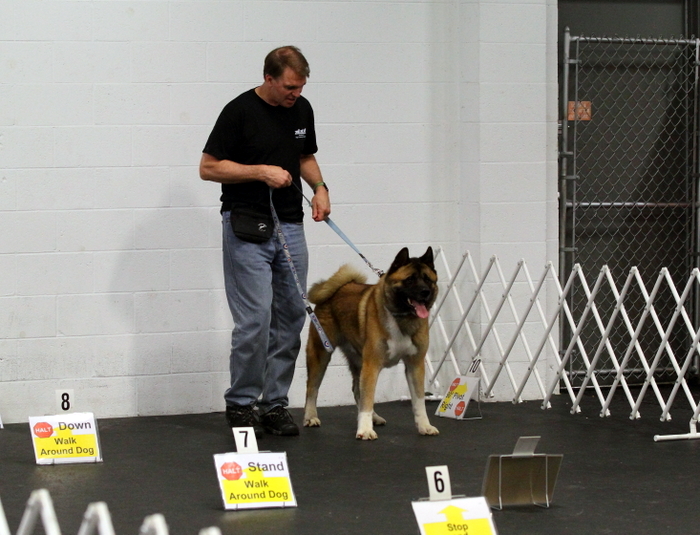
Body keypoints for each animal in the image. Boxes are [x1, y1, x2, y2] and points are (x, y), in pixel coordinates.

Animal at [304, 247, 440, 440]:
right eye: (410, 279)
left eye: (428, 279)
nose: (425, 292)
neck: (401, 317)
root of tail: (337, 288)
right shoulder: (372, 364)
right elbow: (368, 399)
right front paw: (365, 430)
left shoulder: (415, 364)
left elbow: (419, 400)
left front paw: (424, 426)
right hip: (320, 354)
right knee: (312, 388)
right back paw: (310, 417)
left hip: (358, 361)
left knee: (357, 390)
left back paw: (374, 418)